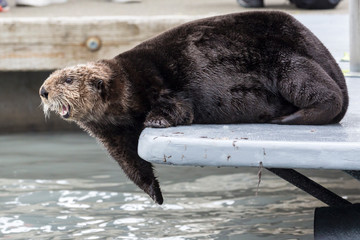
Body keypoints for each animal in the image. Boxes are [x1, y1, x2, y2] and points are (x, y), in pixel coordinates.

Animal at [38, 11, 348, 204]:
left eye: (67, 79)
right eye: (51, 78)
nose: (43, 91)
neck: (124, 86)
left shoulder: (153, 82)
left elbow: (177, 106)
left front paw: (156, 120)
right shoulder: (113, 136)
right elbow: (131, 163)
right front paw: (155, 195)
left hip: (288, 62)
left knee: (327, 96)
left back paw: (288, 118)